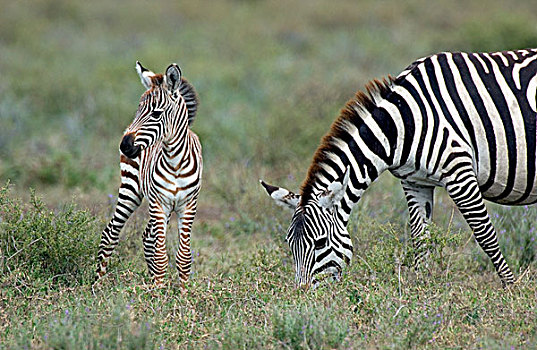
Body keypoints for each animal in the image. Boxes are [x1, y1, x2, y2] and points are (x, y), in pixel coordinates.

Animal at [95, 62, 202, 288]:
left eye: (156, 114)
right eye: (138, 110)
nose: (124, 145)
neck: (175, 161)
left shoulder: (188, 205)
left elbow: (184, 257)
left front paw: (183, 293)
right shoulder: (159, 202)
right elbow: (161, 256)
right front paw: (158, 294)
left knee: (148, 238)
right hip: (131, 189)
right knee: (111, 233)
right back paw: (97, 285)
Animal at [260, 49, 536, 290]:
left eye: (320, 243)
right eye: (289, 245)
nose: (303, 294)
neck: (402, 124)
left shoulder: (459, 174)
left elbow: (485, 235)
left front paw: (510, 288)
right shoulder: (415, 182)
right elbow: (420, 237)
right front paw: (423, 289)